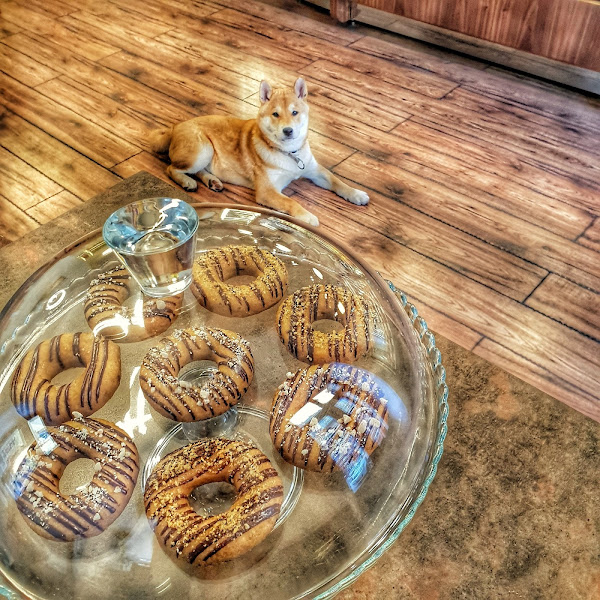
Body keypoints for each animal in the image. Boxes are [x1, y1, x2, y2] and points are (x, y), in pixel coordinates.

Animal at [148, 75, 368, 225]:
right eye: (275, 114)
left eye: (295, 112)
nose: (288, 131)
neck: (290, 155)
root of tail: (175, 127)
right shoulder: (267, 191)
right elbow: (291, 203)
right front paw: (308, 217)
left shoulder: (314, 170)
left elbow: (337, 182)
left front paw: (356, 194)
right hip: (202, 150)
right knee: (171, 168)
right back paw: (187, 181)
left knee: (197, 170)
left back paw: (212, 181)